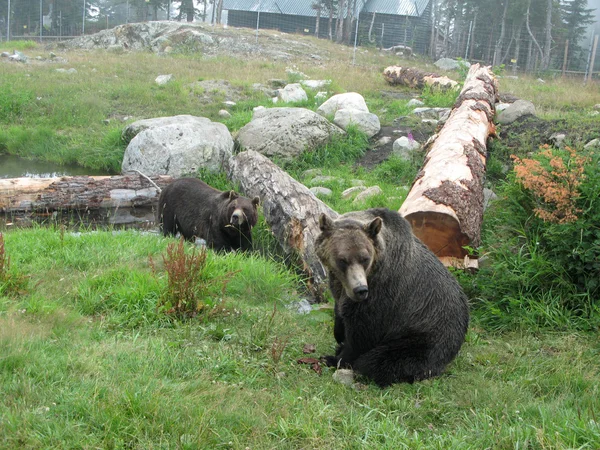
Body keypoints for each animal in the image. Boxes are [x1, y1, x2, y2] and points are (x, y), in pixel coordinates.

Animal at [316, 207, 472, 386]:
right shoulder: (340, 286)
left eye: (365, 258)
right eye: (342, 259)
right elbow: (340, 311)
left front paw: (334, 359)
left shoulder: (383, 293)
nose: (360, 289)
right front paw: (338, 338)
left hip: (425, 335)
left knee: (384, 360)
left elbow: (363, 333)